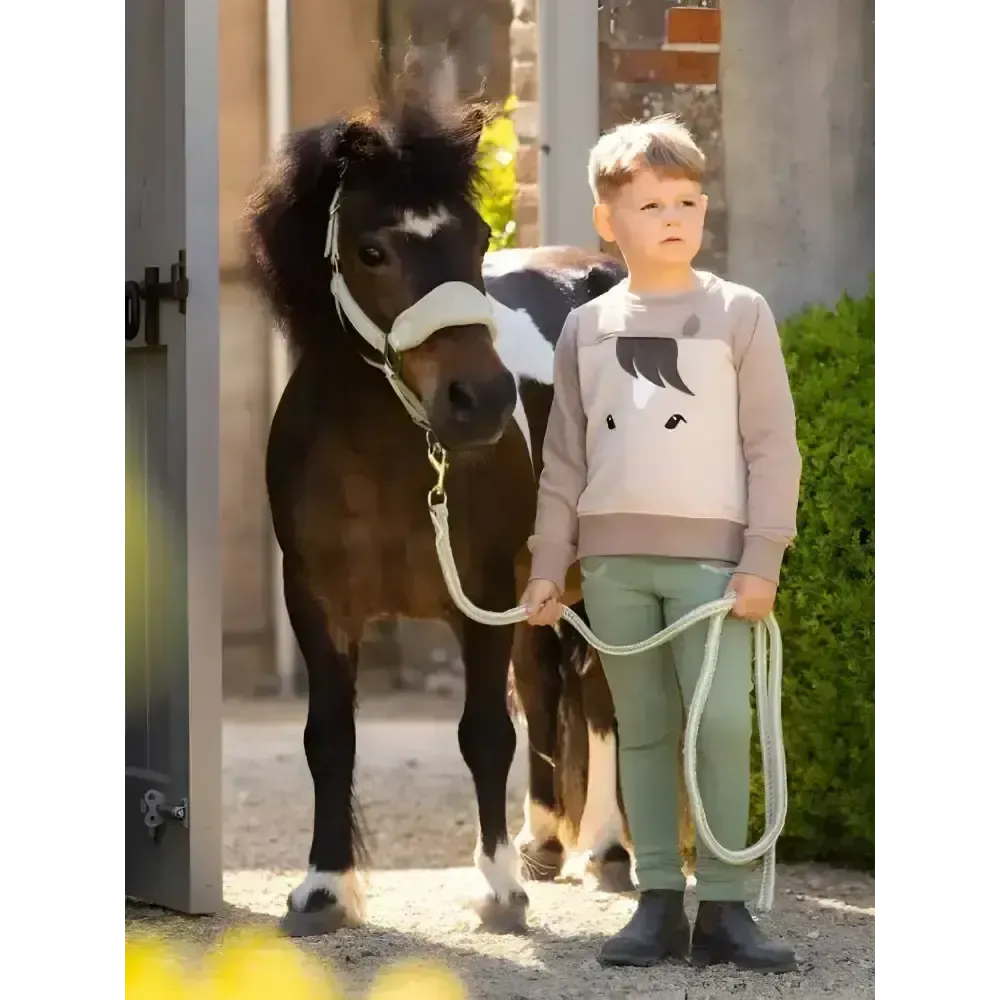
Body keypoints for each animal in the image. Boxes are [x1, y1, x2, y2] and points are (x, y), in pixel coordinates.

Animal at [243, 91, 636, 938]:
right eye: (372, 251)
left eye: (478, 237)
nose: (481, 400)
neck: (381, 457)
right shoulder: (315, 602)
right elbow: (329, 738)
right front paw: (324, 888)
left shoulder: (478, 594)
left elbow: (483, 734)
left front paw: (498, 892)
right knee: (547, 684)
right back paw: (544, 843)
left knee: (603, 694)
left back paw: (607, 847)